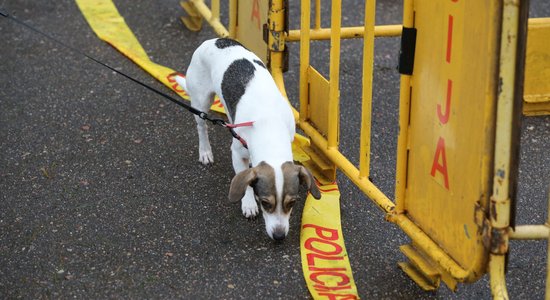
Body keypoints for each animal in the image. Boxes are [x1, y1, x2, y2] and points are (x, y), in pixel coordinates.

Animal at [177, 37, 322, 240]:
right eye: (265, 203)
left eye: (292, 203)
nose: (279, 237)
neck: (269, 125)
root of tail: (215, 40)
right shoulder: (237, 153)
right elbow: (244, 181)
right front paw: (248, 204)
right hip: (202, 102)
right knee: (201, 126)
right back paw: (205, 152)